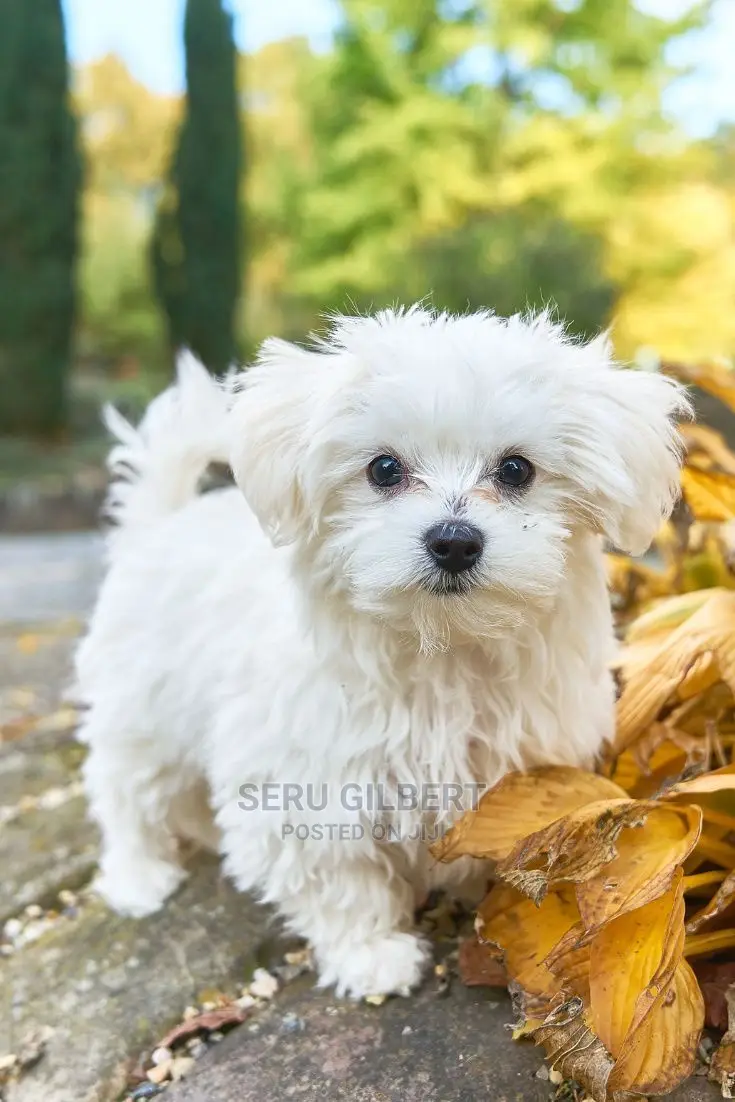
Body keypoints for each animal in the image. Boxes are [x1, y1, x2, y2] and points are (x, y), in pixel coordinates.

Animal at [74, 308, 683, 1000]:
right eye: (384, 470)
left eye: (517, 471)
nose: (454, 540)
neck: (441, 651)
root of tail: (159, 524)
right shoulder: (305, 789)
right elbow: (339, 878)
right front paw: (371, 954)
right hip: (141, 712)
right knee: (124, 790)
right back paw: (138, 876)